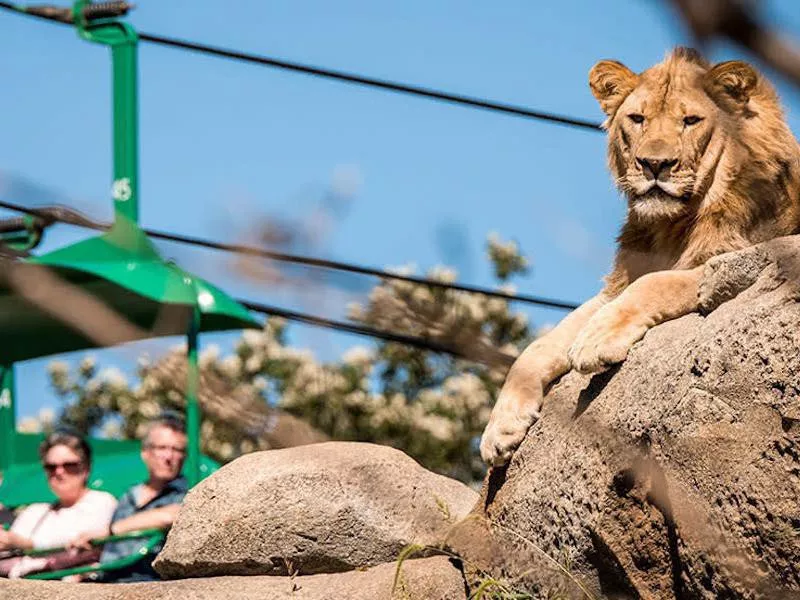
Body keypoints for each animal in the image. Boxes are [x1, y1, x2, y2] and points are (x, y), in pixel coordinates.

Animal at [478, 48, 800, 468]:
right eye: (638, 119)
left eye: (690, 121)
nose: (654, 164)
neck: (672, 224)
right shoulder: (616, 285)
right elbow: (538, 347)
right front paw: (500, 428)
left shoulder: (734, 258)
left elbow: (656, 284)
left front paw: (596, 340)